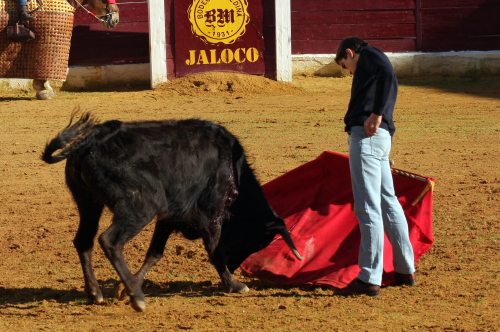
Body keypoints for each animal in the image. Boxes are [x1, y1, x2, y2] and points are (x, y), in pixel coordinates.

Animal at [42, 113, 300, 312]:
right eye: (256, 241)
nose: (235, 268)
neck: (233, 171)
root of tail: (89, 143)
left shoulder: (169, 216)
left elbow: (155, 253)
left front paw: (124, 288)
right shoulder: (210, 213)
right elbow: (214, 249)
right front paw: (234, 285)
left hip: (89, 203)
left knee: (84, 241)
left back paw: (96, 293)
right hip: (142, 205)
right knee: (110, 240)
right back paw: (137, 298)